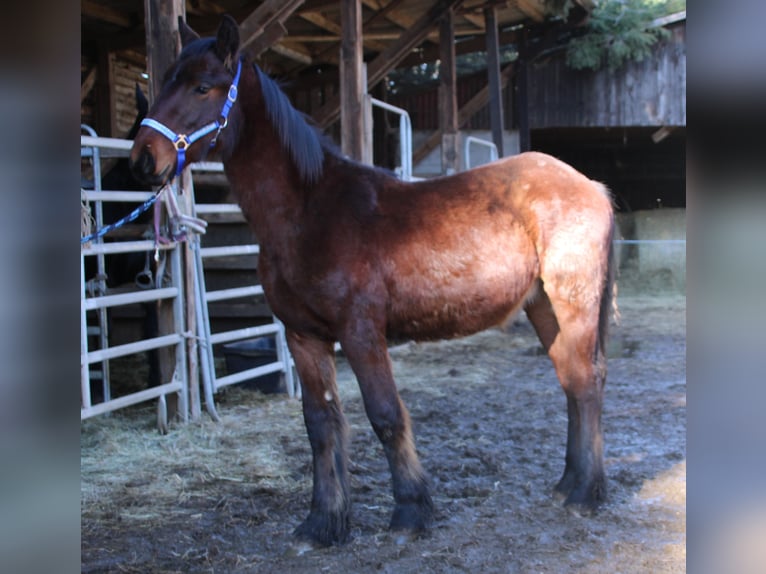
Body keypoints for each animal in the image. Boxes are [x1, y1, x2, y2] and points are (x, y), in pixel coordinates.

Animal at [129, 16, 616, 548]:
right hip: (543, 306)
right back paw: (569, 482)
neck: (309, 211)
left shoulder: (361, 332)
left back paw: (584, 494)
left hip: (572, 302)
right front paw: (323, 522)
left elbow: (385, 415)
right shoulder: (303, 337)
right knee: (571, 379)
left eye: (202, 86)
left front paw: (410, 511)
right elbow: (320, 423)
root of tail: (589, 185)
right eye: (163, 82)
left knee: (585, 380)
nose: (142, 157)